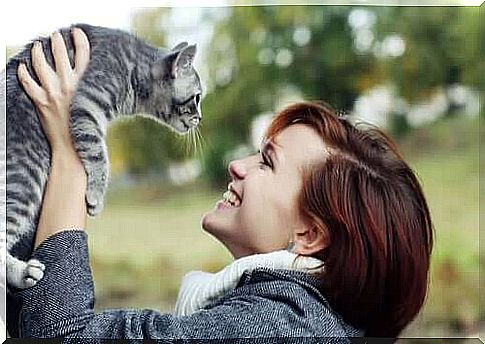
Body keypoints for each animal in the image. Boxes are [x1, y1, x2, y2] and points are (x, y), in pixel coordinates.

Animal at [2, 22, 202, 290]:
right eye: (197, 97)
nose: (200, 117)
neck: (133, 70)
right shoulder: (86, 106)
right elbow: (99, 155)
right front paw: (96, 195)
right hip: (24, 179)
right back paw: (23, 273)